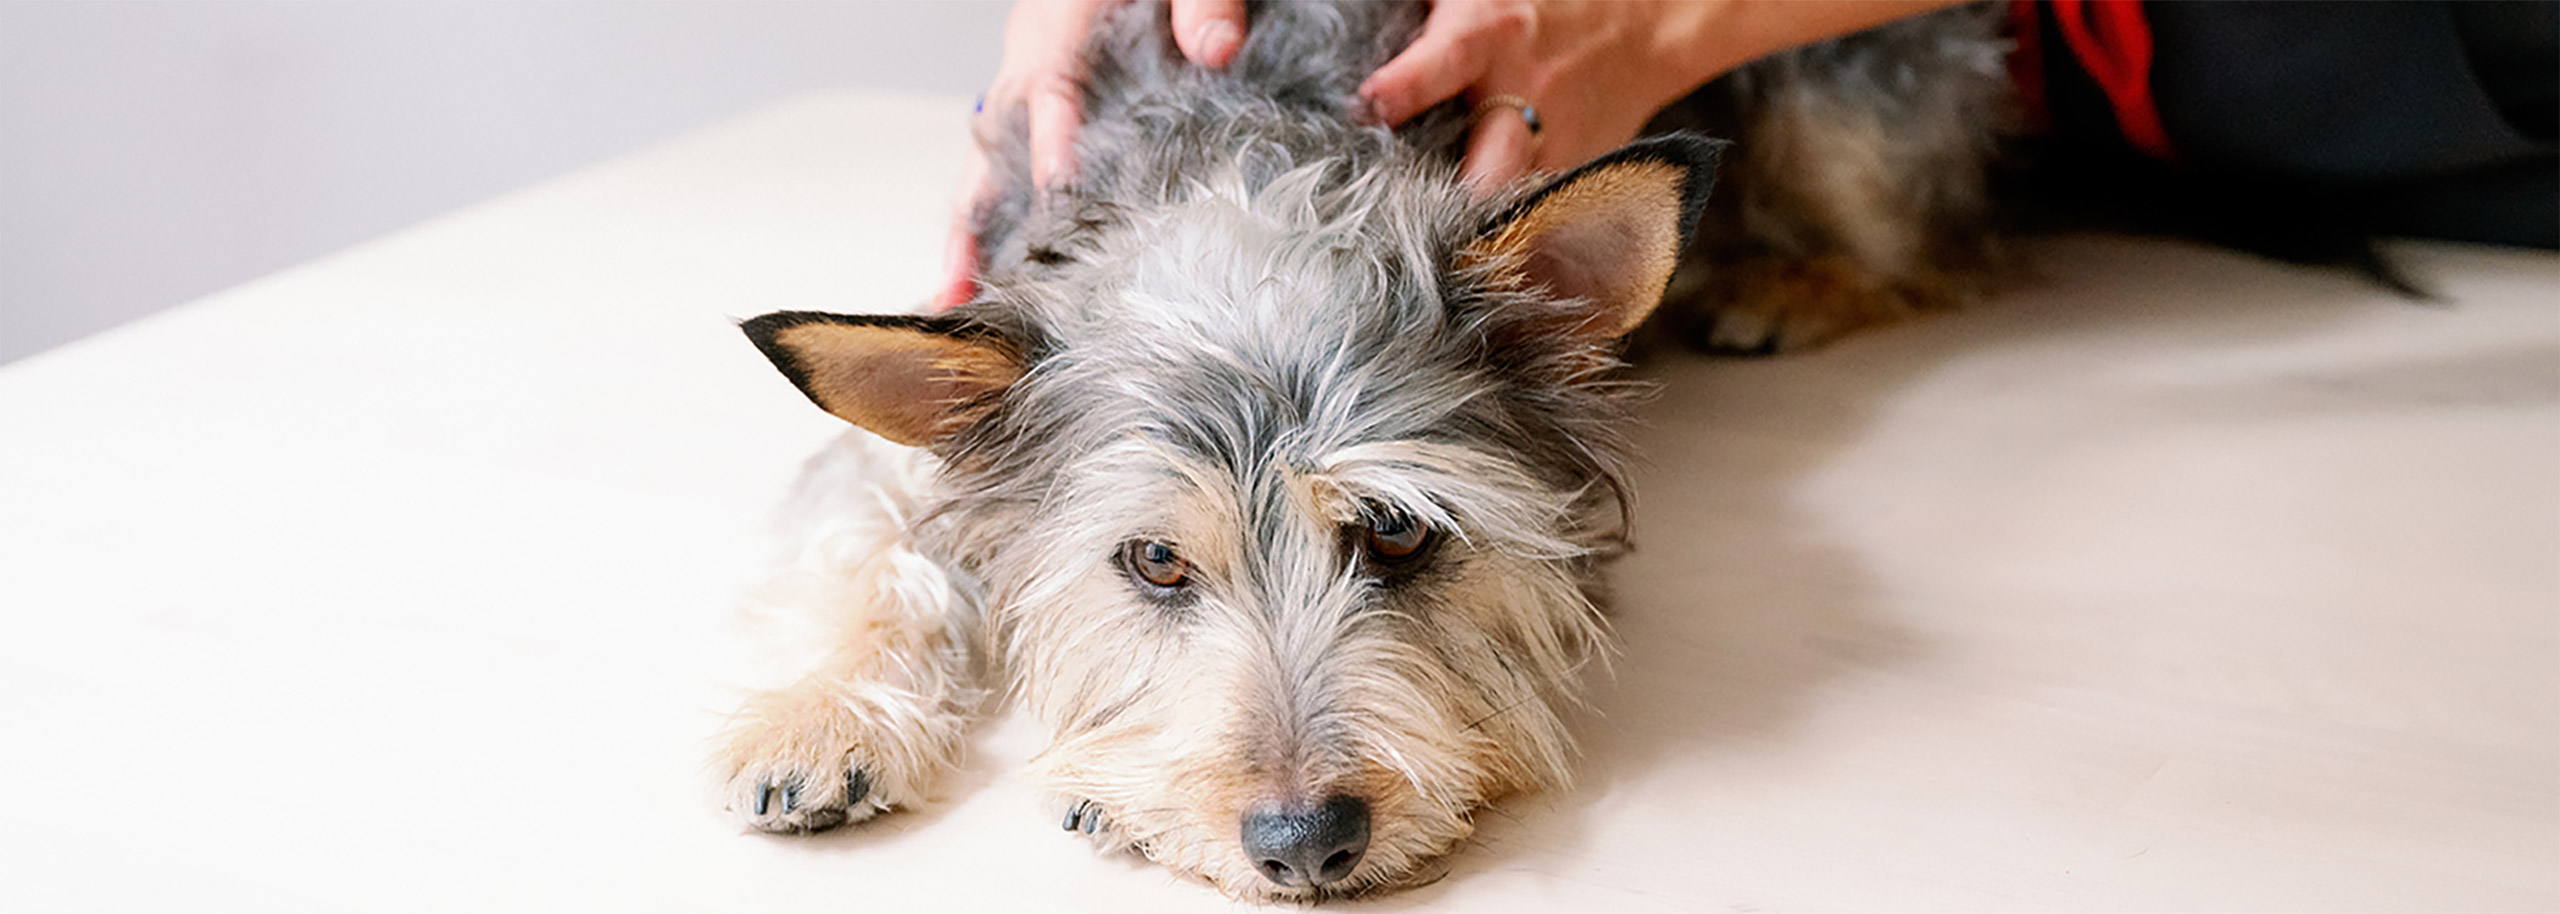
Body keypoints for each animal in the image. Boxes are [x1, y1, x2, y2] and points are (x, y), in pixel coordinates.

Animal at [711, 0, 2007, 896]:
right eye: (1154, 562)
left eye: (1395, 531)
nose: (1304, 842)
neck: (1239, 154)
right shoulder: (923, 420)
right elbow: (864, 539)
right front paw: (817, 719)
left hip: (1845, 114)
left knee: (1939, 249)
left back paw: (1785, 284)